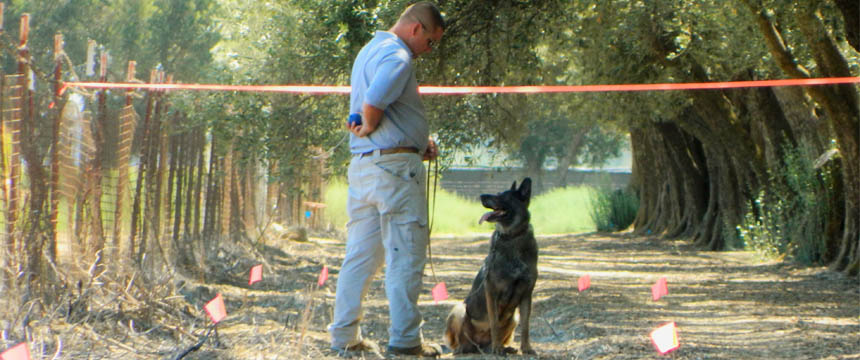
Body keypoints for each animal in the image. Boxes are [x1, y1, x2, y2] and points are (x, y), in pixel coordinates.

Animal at [444, 177, 536, 354]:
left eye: (503, 196)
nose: (481, 196)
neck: (511, 237)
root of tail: (478, 346)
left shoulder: (527, 294)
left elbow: (526, 325)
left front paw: (526, 348)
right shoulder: (492, 291)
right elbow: (494, 323)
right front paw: (497, 349)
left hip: (514, 317)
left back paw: (504, 347)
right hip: (459, 308)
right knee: (462, 342)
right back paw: (468, 348)